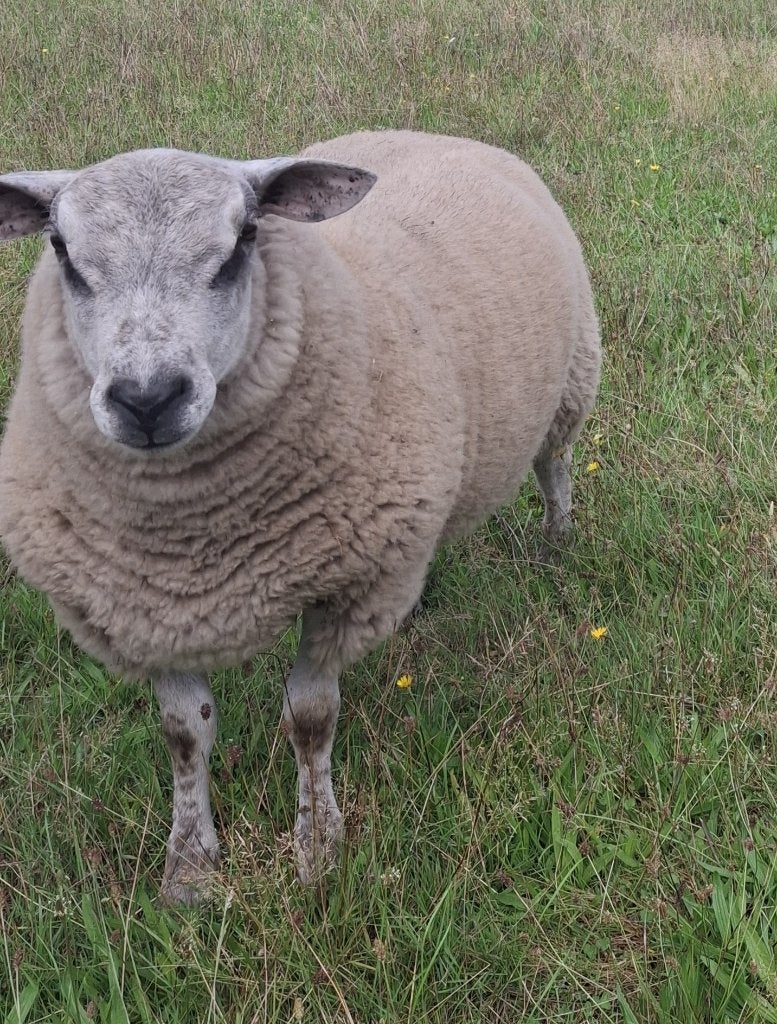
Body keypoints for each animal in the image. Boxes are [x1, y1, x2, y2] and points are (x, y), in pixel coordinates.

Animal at [0, 130, 600, 904]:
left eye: (243, 240)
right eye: (61, 249)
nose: (148, 399)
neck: (190, 534)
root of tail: (427, 130)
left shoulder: (342, 587)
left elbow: (310, 720)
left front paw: (318, 848)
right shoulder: (143, 605)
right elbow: (183, 732)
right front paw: (189, 869)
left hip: (571, 383)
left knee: (554, 466)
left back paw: (557, 543)